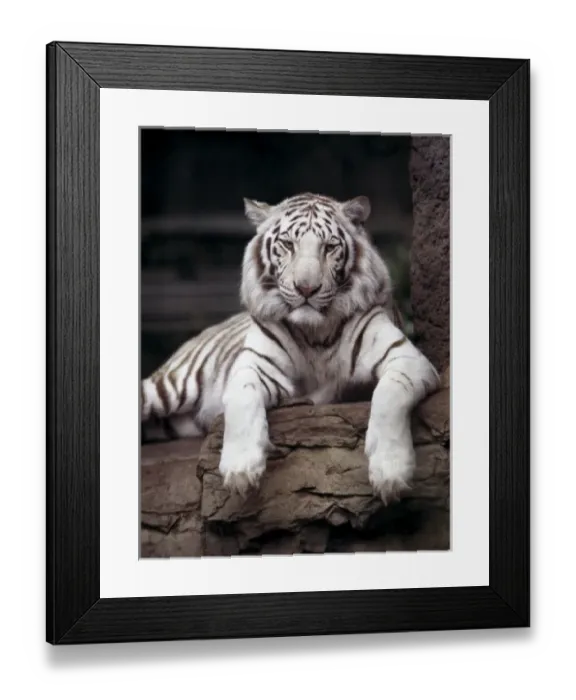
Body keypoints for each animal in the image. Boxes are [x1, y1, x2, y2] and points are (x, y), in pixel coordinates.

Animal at [141, 192, 440, 505]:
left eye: (329, 247)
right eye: (287, 244)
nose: (306, 288)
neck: (315, 334)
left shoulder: (406, 357)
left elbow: (389, 396)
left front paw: (391, 473)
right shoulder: (255, 365)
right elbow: (242, 399)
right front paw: (241, 470)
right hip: (171, 387)